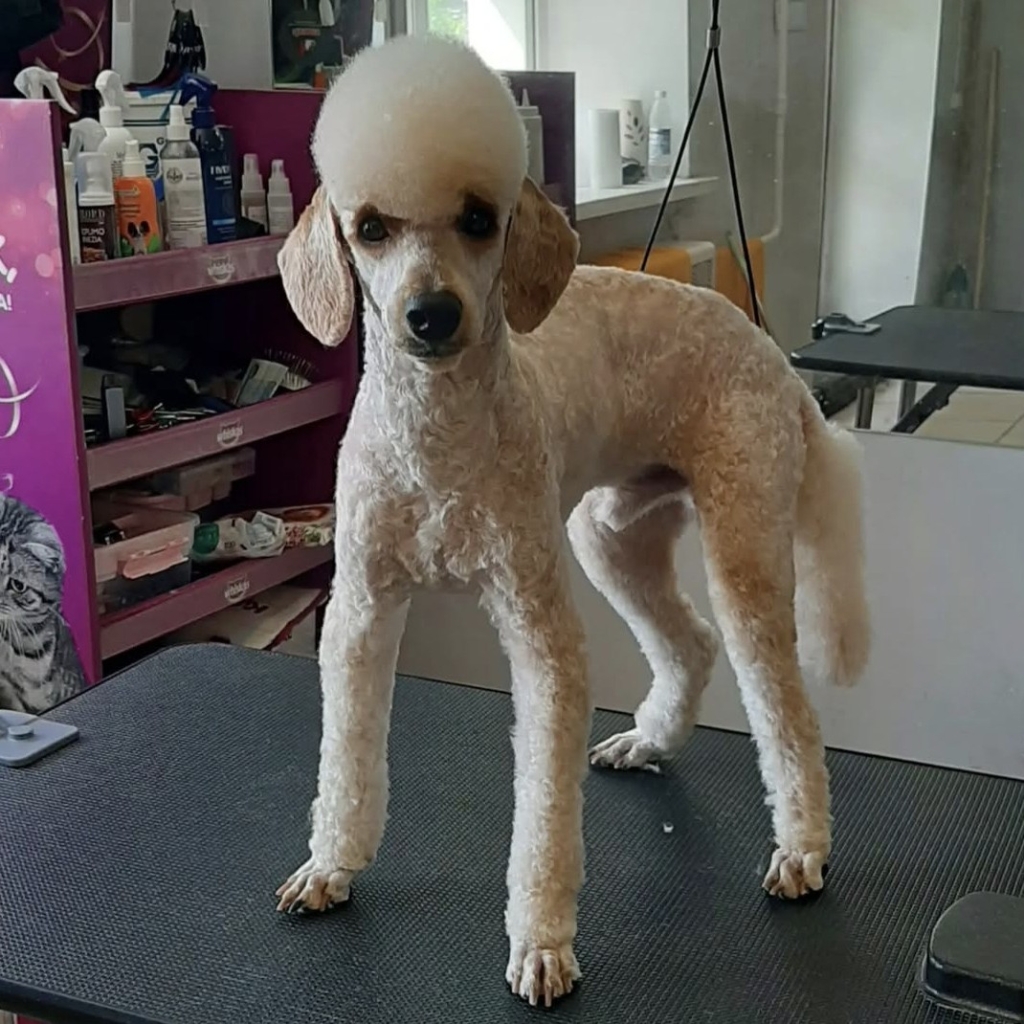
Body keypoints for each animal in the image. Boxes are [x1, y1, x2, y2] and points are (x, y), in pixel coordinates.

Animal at [274, 34, 870, 1007]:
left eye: (480, 217)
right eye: (371, 227)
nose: (430, 314)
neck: (438, 445)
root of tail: (776, 361)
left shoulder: (538, 631)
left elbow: (544, 815)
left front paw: (542, 942)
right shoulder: (360, 613)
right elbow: (345, 761)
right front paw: (332, 867)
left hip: (742, 540)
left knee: (787, 715)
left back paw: (803, 849)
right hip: (611, 537)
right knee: (690, 642)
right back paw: (650, 741)